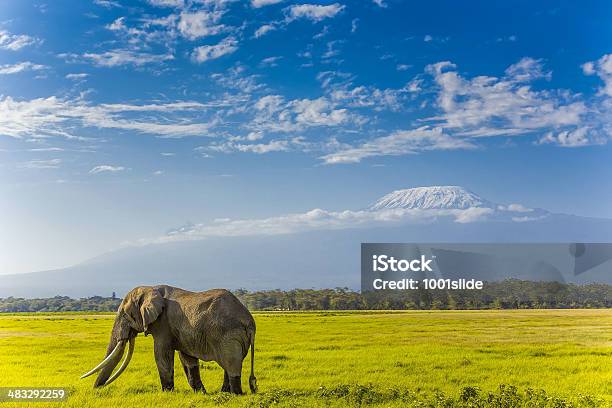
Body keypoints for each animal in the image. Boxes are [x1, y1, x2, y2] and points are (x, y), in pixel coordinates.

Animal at [80, 284, 256, 396]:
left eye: (126, 315)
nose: (96, 390)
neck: (150, 288)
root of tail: (250, 322)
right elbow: (188, 359)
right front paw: (201, 394)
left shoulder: (163, 324)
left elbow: (161, 353)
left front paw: (167, 392)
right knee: (229, 364)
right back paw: (224, 393)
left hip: (229, 335)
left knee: (231, 364)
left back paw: (236, 395)